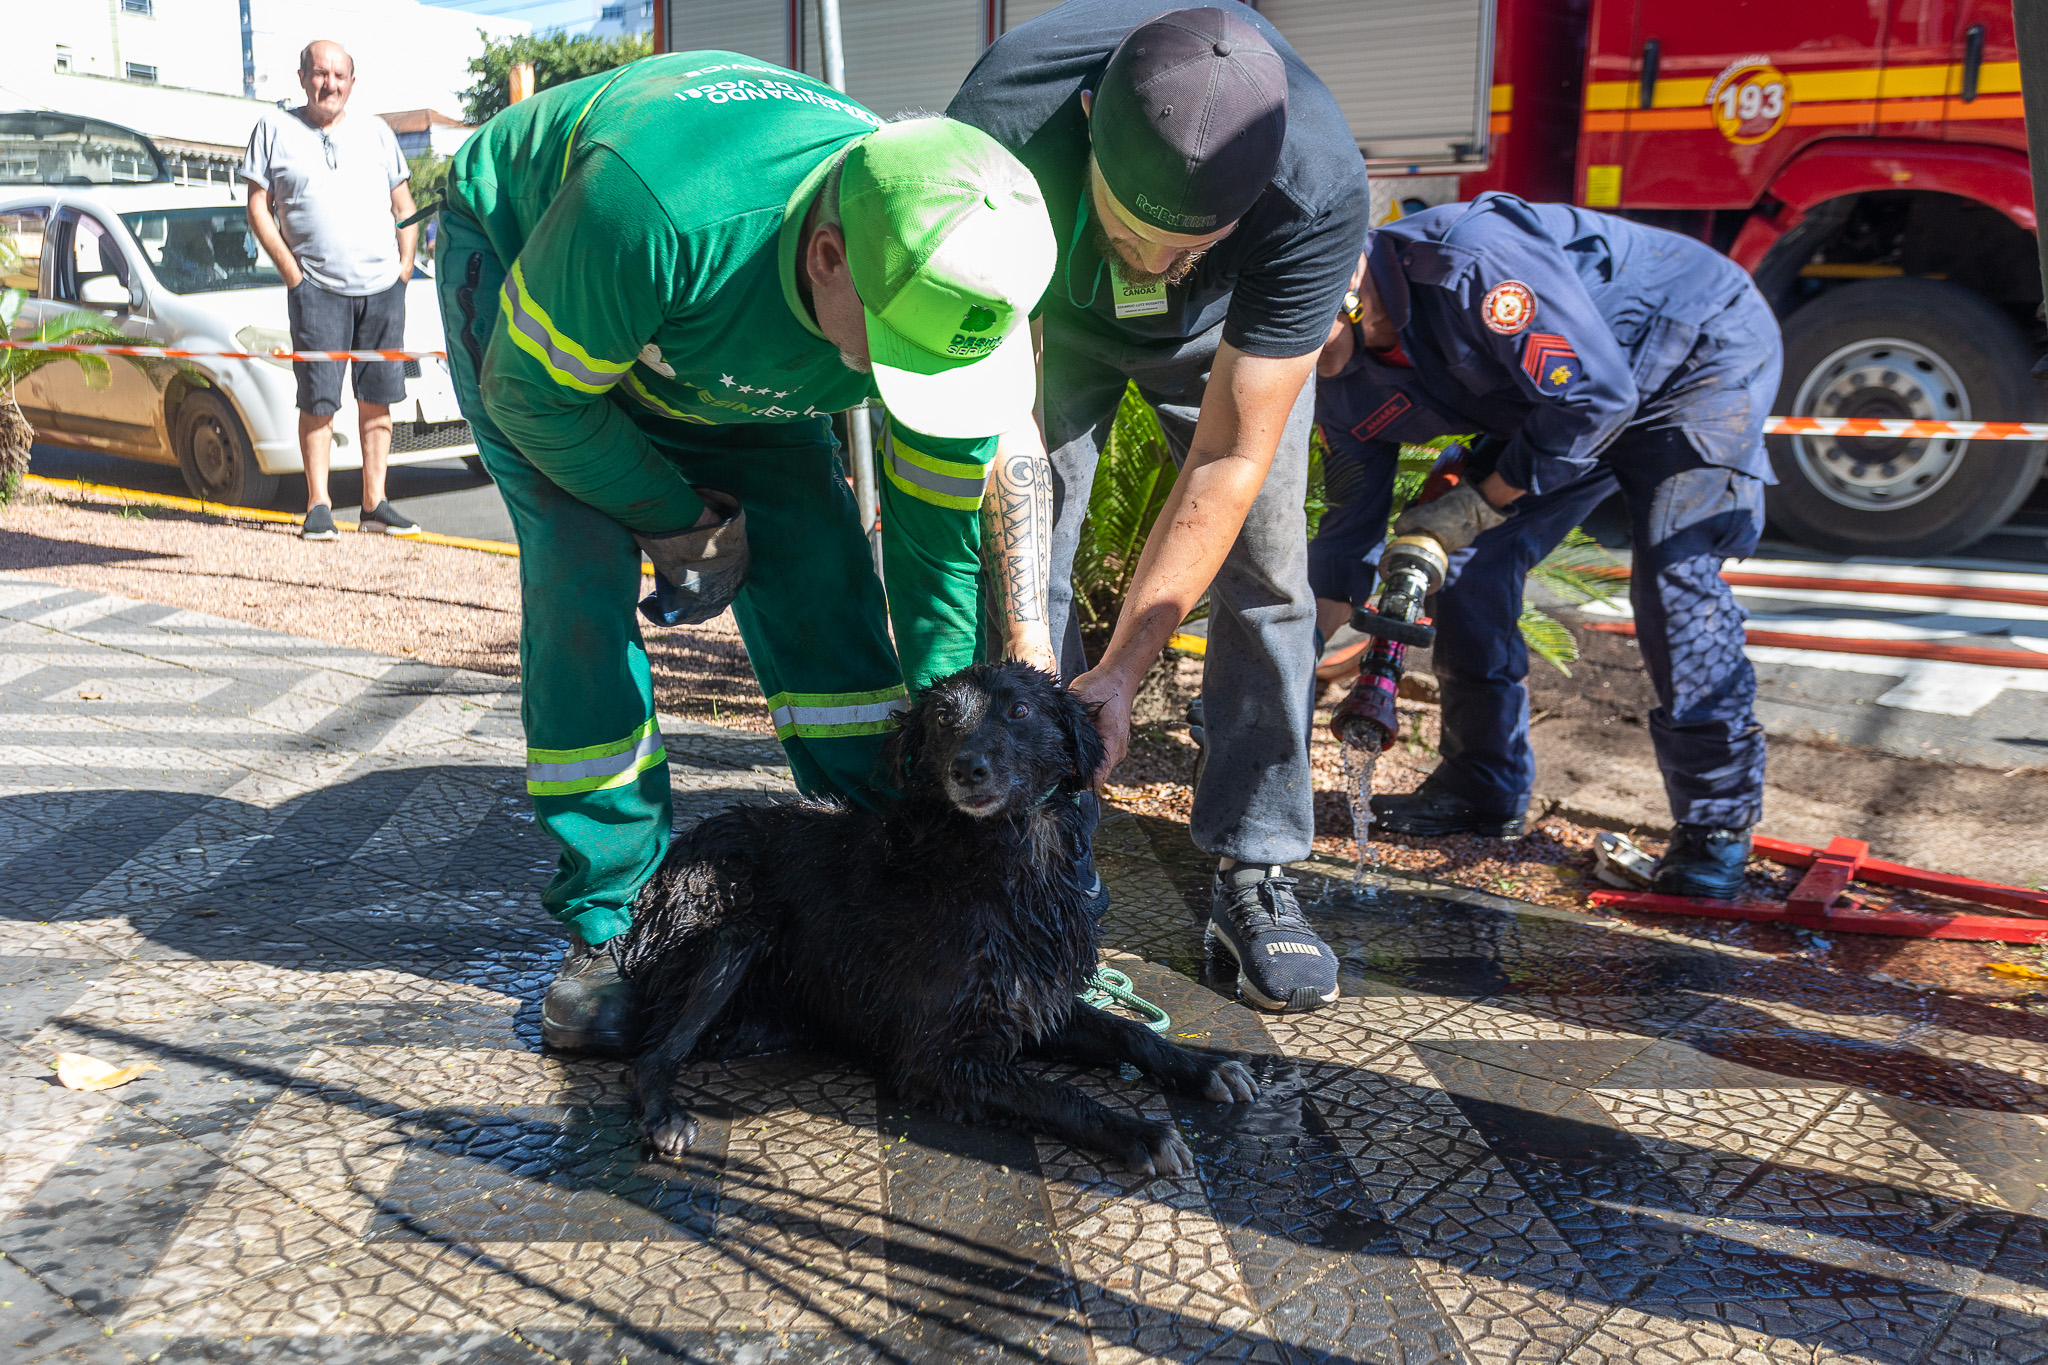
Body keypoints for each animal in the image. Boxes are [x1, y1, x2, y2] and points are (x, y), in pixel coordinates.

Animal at [614, 663, 1253, 1178]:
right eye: (944, 718)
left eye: (1019, 711)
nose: (970, 769)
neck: (1001, 864)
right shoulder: (937, 1057)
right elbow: (1054, 1094)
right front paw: (1140, 1132)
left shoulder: (1035, 1001)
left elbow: (1129, 1031)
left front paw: (1204, 1066)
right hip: (740, 931)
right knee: (649, 1056)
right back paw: (666, 1115)